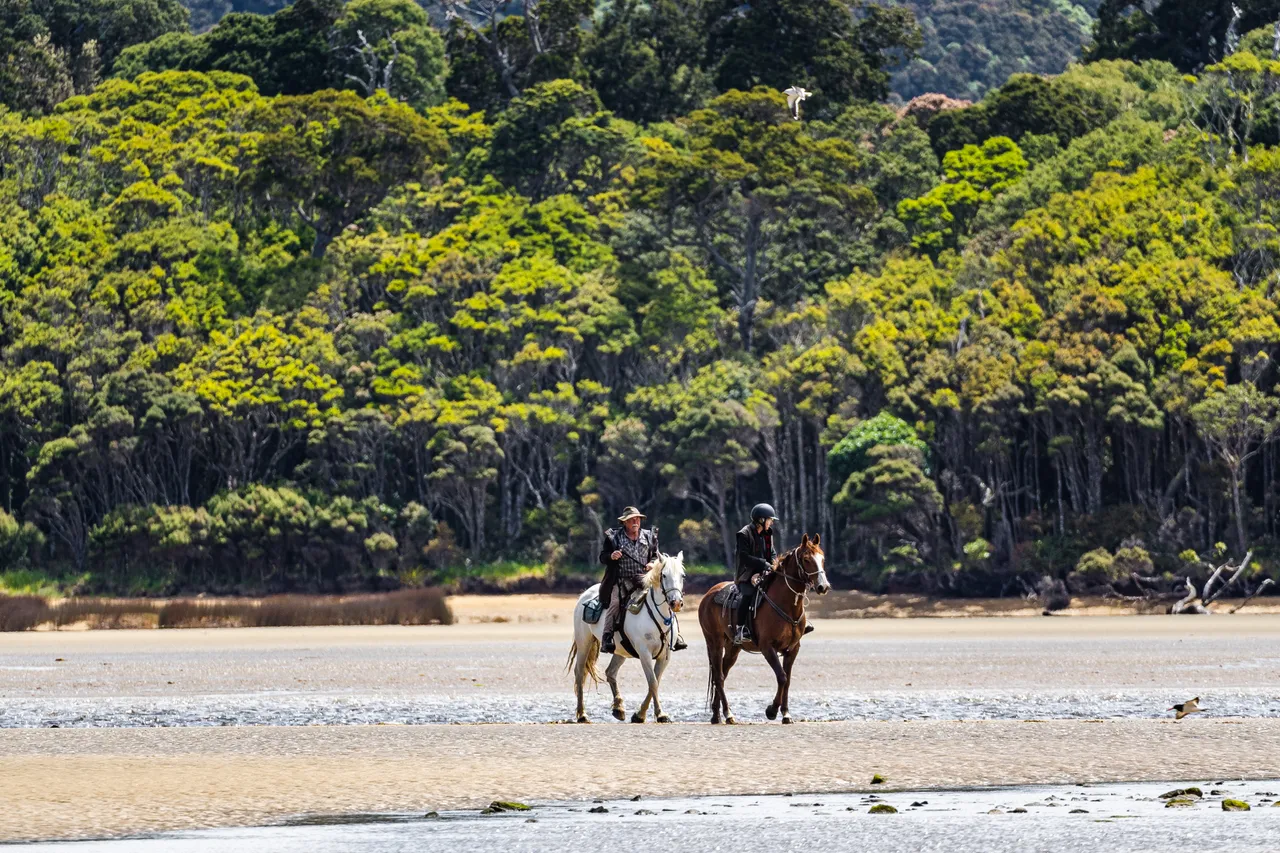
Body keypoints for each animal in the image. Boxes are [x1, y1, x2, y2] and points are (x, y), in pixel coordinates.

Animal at [567, 551, 686, 724]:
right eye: (664, 575)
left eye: (682, 575)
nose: (676, 603)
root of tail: (585, 594)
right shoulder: (644, 653)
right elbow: (653, 682)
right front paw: (660, 714)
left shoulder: (665, 656)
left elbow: (655, 682)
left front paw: (640, 715)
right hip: (584, 642)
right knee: (580, 673)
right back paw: (582, 715)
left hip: (621, 650)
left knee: (610, 672)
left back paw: (618, 709)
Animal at [698, 534, 829, 724]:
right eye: (806, 559)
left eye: (822, 558)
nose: (823, 586)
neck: (786, 604)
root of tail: (708, 595)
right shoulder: (768, 647)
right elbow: (781, 676)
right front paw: (772, 710)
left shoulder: (793, 649)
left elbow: (787, 680)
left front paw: (786, 714)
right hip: (715, 642)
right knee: (719, 677)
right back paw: (728, 714)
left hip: (733, 648)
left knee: (721, 672)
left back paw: (716, 715)